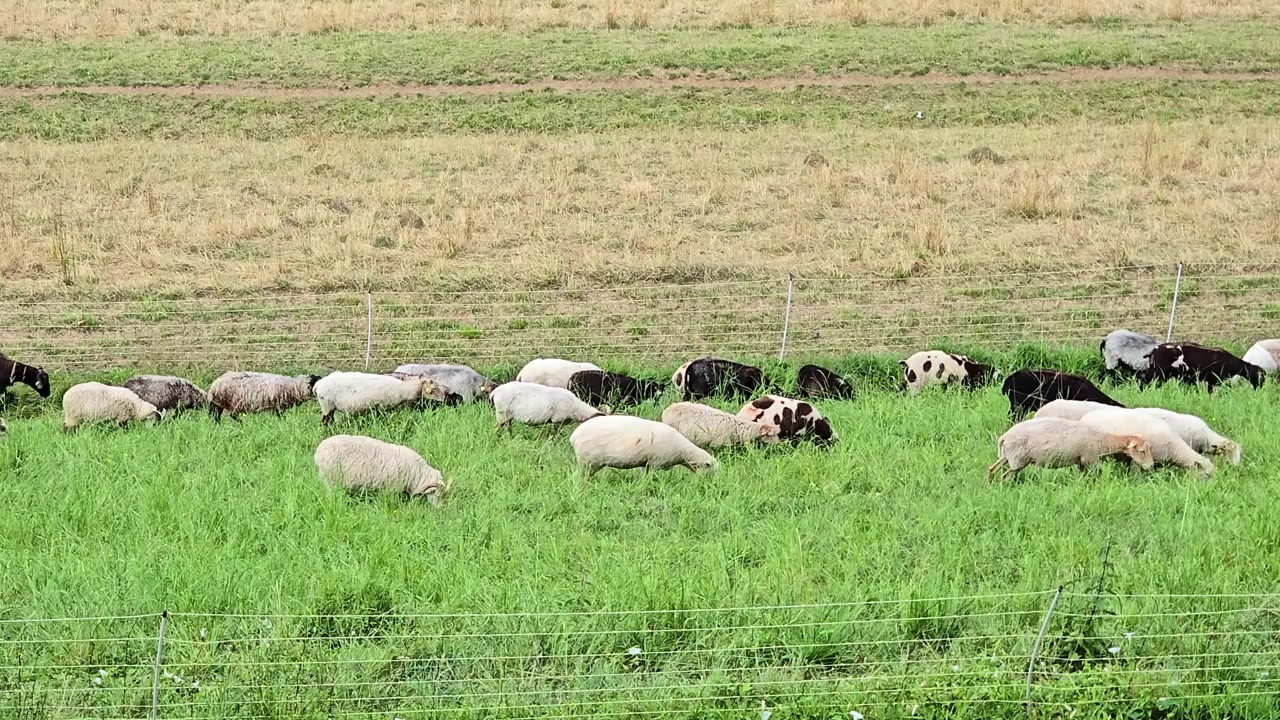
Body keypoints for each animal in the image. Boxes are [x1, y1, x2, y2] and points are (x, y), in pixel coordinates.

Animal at [314, 372, 448, 425]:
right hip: (327, 405)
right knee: (325, 422)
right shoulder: (382, 406)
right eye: (434, 388)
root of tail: (317, 385)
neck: (404, 389)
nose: (444, 398)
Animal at [314, 434, 448, 505]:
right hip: (330, 480)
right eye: (436, 494)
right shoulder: (392, 488)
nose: (439, 509)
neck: (416, 473)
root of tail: (318, 452)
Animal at [570, 415, 718, 476]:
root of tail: (574, 437)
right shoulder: (656, 463)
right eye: (711, 469)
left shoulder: (646, 462)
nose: (711, 484)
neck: (683, 452)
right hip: (588, 462)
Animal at [987, 417, 1154, 482]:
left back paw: (989, 484)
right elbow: (1099, 473)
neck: (1102, 440)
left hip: (1007, 456)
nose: (1151, 466)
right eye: (1141, 451)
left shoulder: (1081, 461)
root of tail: (1005, 436)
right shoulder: (1090, 458)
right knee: (1005, 475)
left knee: (992, 469)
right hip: (1018, 460)